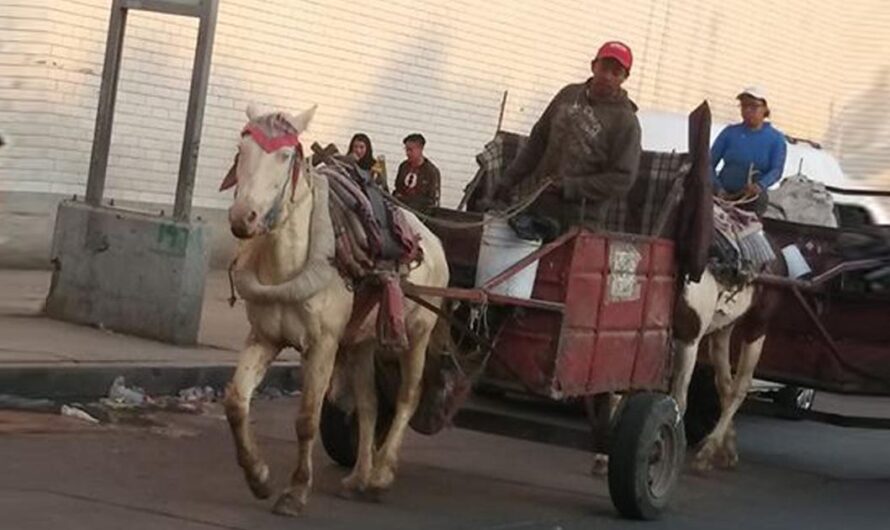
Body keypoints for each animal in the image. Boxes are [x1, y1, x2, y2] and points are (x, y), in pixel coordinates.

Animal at [219, 103, 448, 512]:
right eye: (241, 150)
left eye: (285, 156)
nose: (243, 218)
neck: (289, 261)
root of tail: (432, 239)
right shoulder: (264, 337)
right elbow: (236, 403)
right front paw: (258, 477)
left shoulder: (323, 345)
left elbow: (307, 418)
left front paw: (295, 492)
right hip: (362, 341)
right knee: (369, 404)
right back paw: (359, 476)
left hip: (417, 335)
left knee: (407, 397)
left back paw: (381, 475)